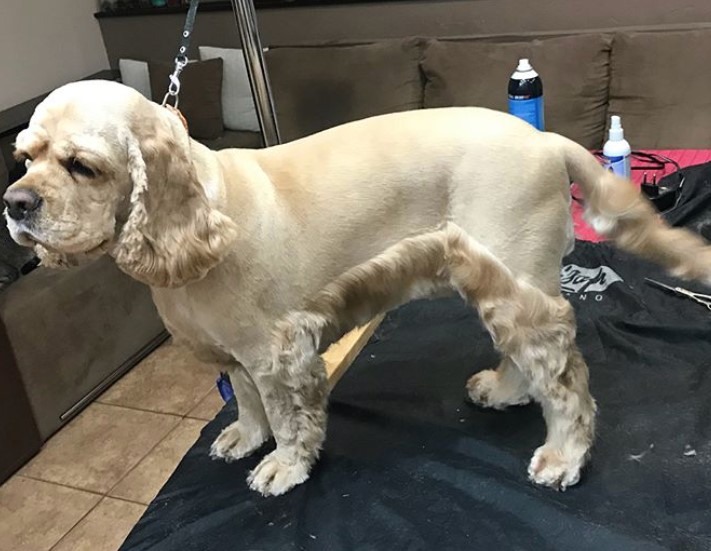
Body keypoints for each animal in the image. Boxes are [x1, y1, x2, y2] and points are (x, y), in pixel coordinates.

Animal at [5, 81, 711, 496]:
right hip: (500, 278)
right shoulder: (236, 357)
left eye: (82, 165)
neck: (201, 216)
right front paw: (242, 437)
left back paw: (564, 456)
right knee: (526, 357)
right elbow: (247, 405)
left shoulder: (278, 352)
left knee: (564, 379)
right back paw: (504, 390)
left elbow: (289, 418)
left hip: (517, 281)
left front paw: (284, 467)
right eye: (24, 158)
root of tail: (549, 140)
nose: (14, 204)